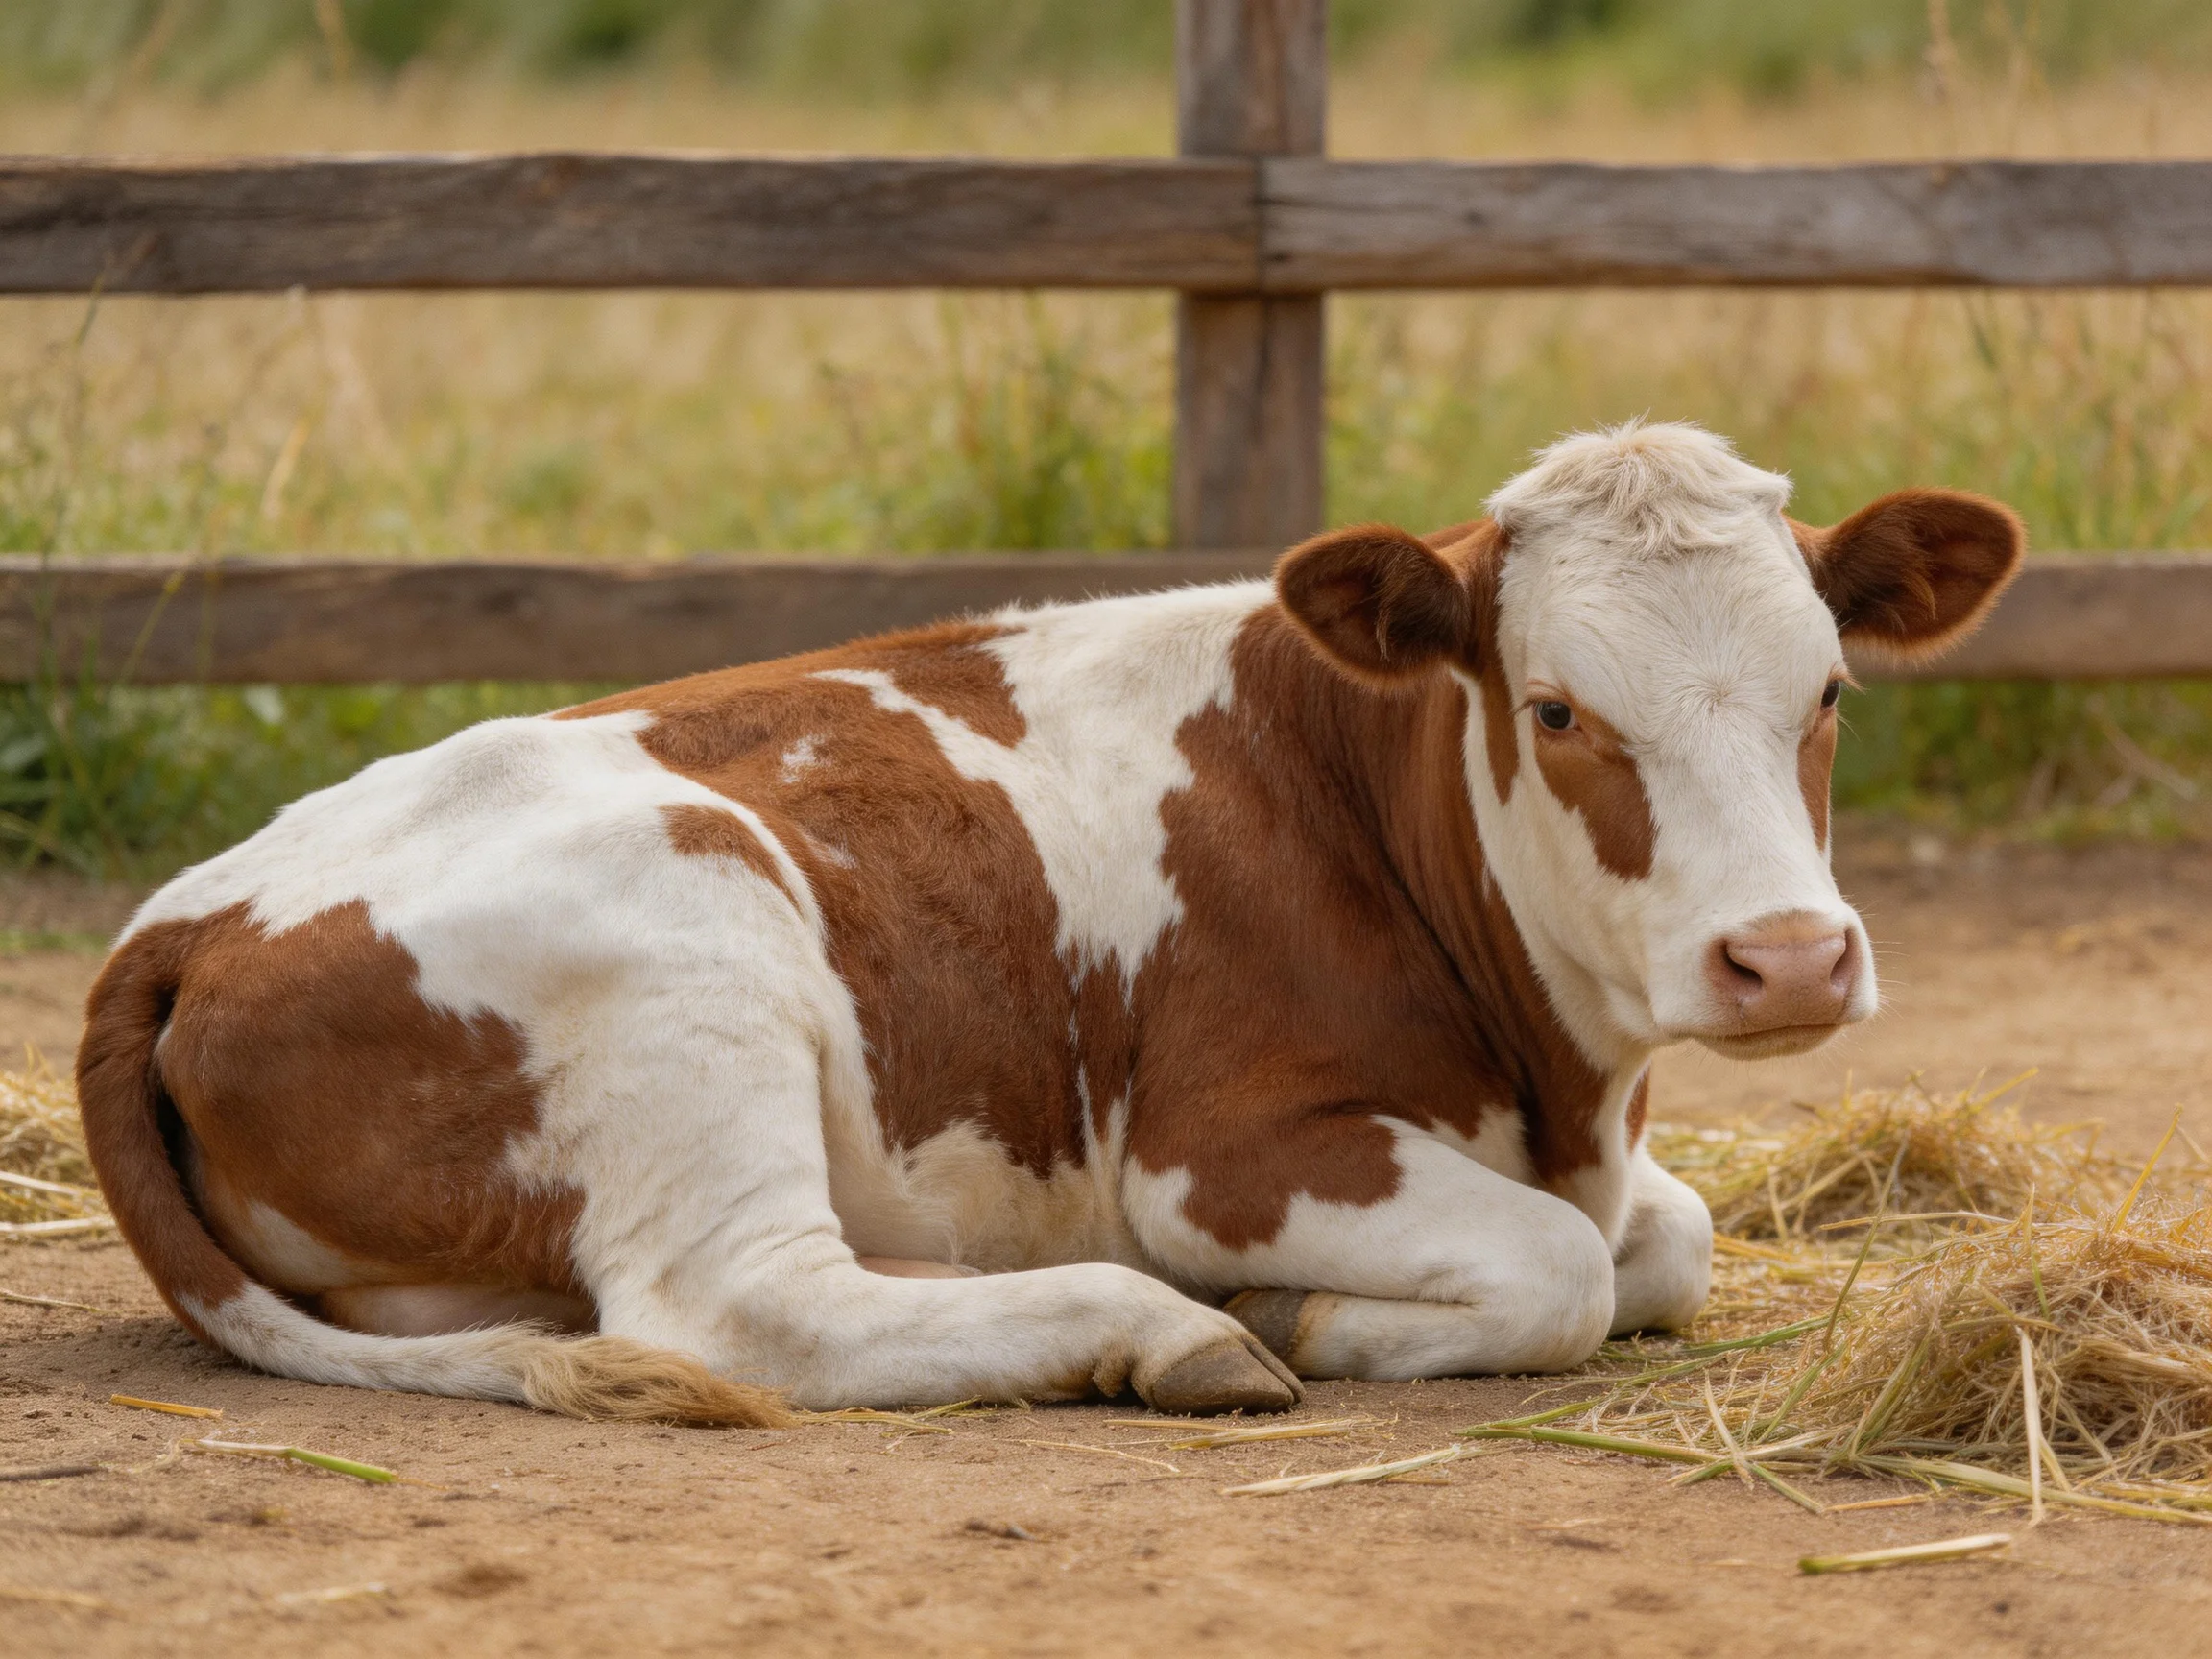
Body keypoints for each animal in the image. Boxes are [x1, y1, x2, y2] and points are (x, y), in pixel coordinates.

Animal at [77, 422, 2022, 1424]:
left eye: (1830, 689)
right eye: (1554, 709)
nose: (1786, 955)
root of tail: (188, 916)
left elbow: (1665, 1244)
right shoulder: (1223, 1147)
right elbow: (1564, 1269)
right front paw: (1304, 1315)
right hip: (692, 948)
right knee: (745, 1311)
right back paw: (1154, 1328)